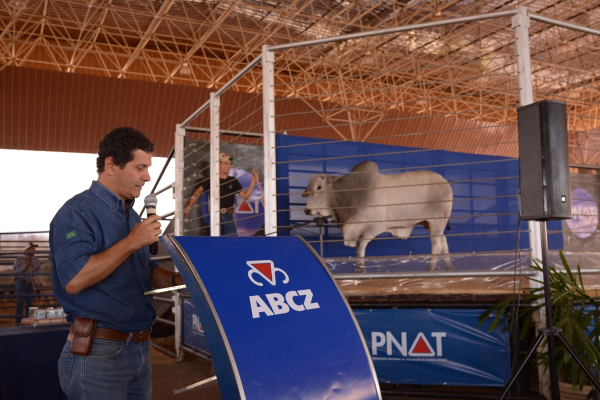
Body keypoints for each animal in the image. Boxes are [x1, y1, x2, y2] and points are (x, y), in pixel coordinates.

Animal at [302, 162, 452, 272]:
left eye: (319, 187)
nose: (307, 210)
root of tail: (445, 182)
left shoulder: (372, 228)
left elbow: (360, 247)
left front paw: (361, 271)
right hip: (430, 224)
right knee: (443, 242)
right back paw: (449, 268)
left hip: (436, 222)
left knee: (437, 245)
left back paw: (430, 270)